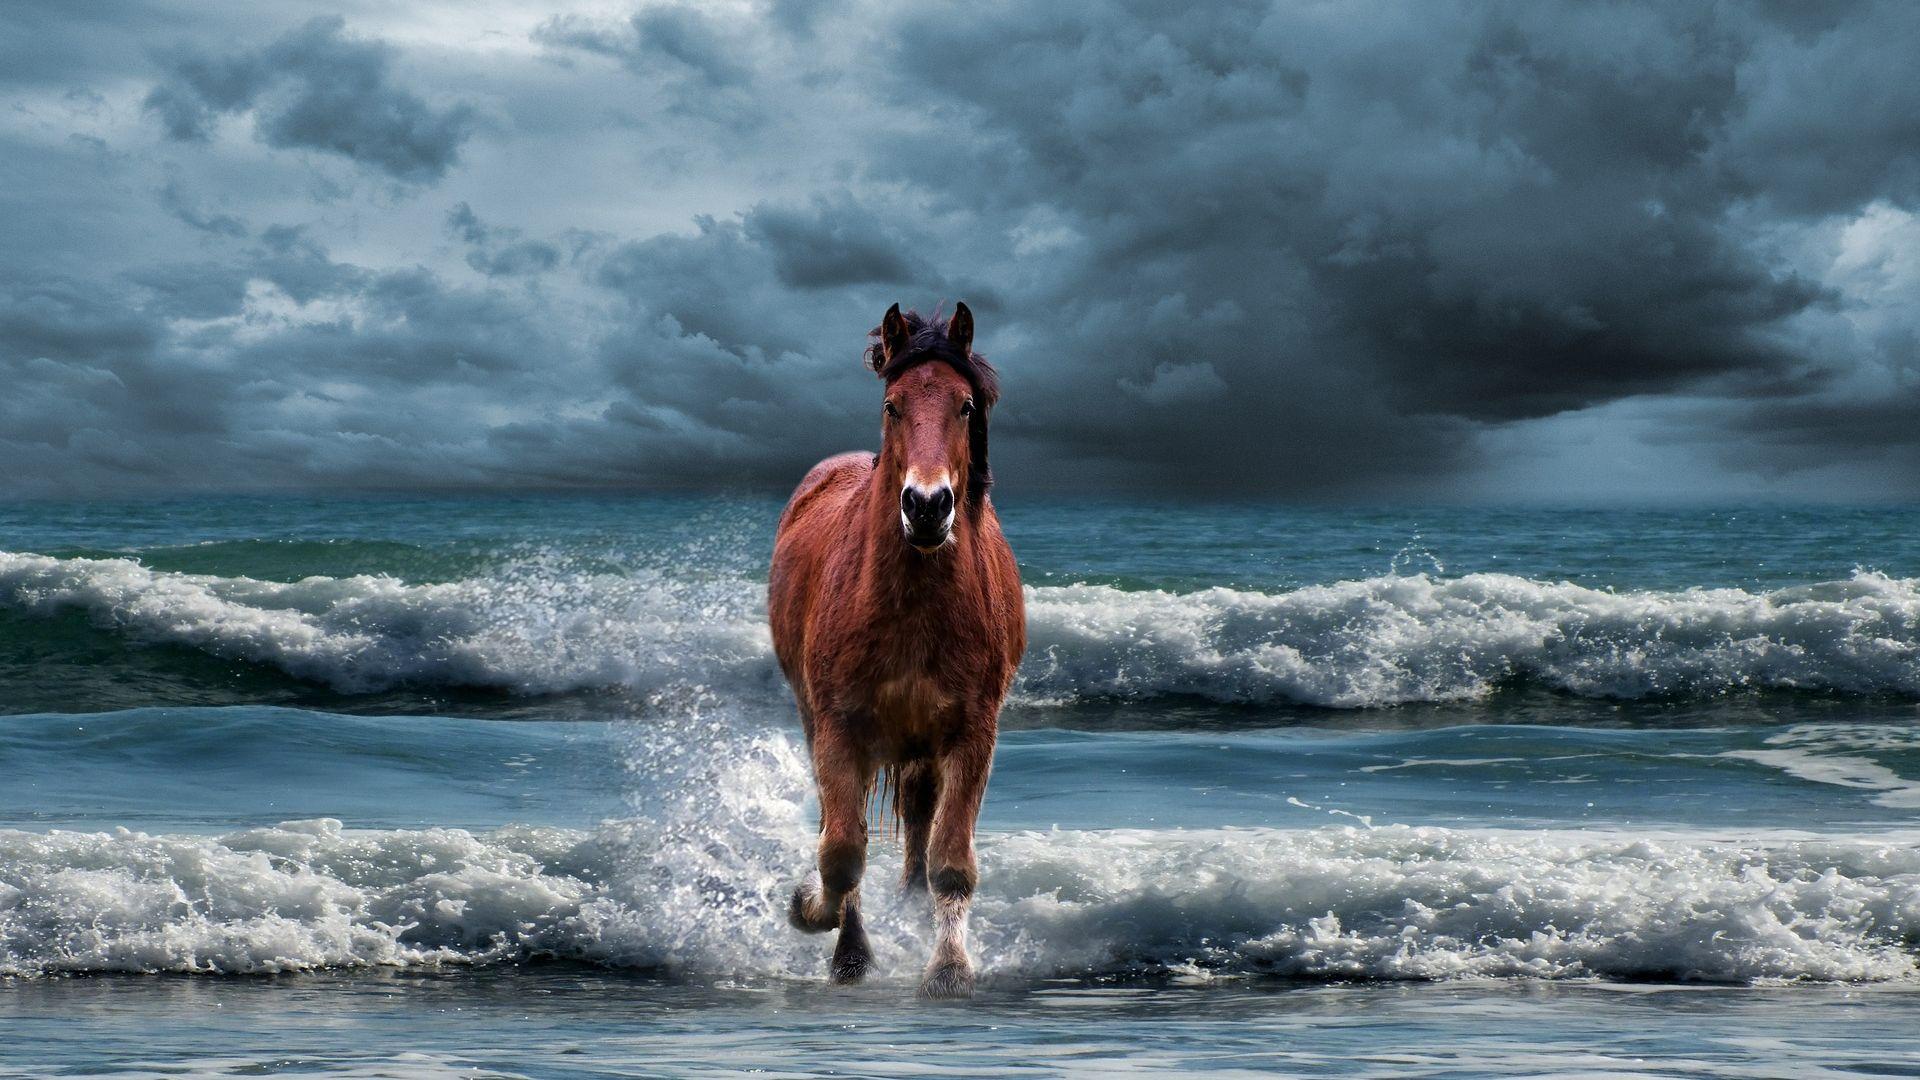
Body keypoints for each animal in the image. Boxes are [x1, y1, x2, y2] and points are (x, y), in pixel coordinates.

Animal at [768, 301, 1025, 998]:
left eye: (965, 405)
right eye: (892, 405)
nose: (928, 506)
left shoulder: (972, 733)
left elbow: (951, 859)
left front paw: (949, 969)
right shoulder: (838, 729)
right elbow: (841, 851)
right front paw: (823, 925)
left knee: (917, 822)